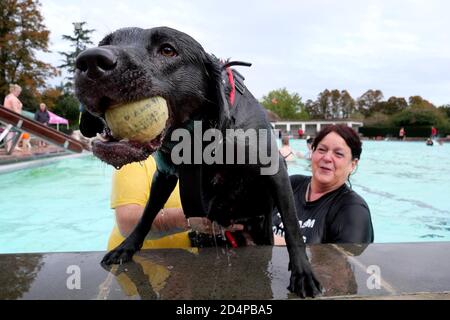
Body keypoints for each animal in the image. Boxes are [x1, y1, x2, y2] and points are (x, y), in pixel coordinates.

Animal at [74, 25, 320, 298]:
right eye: (106, 42)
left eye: (168, 50)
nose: (90, 62)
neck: (198, 136)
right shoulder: (165, 175)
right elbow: (147, 214)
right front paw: (127, 246)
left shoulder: (276, 170)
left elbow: (292, 227)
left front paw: (303, 273)